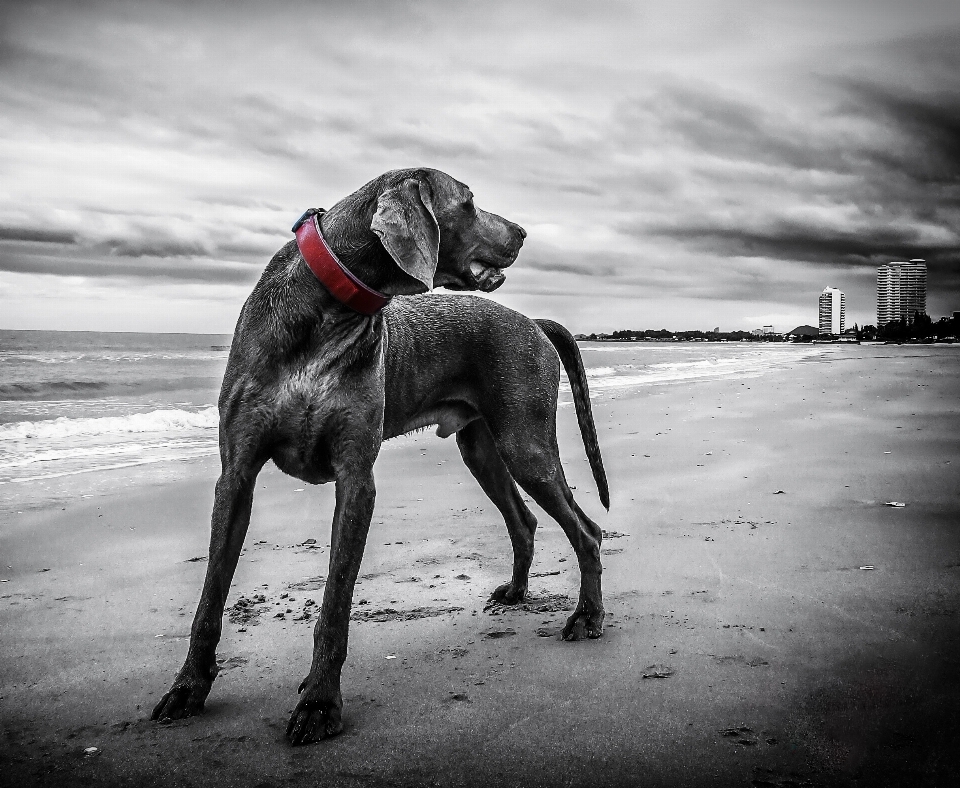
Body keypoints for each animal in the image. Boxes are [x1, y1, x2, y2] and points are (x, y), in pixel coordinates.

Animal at [150, 166, 608, 744]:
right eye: (468, 202)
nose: (524, 233)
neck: (328, 311)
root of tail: (532, 321)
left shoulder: (355, 479)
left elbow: (335, 601)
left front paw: (319, 703)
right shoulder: (237, 474)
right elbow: (211, 595)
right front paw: (187, 687)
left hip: (526, 443)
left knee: (586, 530)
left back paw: (587, 618)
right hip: (482, 448)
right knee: (524, 520)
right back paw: (518, 592)